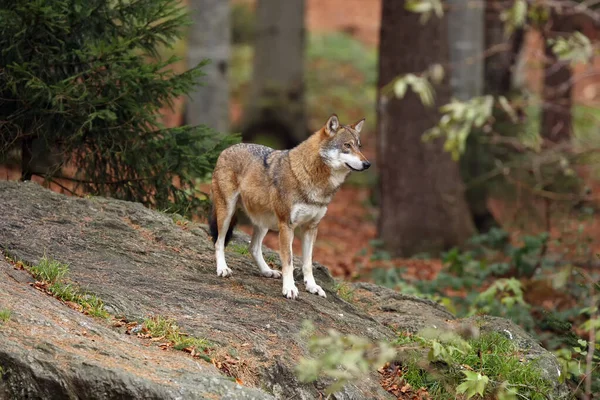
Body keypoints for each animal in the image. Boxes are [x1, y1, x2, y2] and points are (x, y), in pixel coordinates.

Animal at [210, 114, 370, 298]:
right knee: (219, 242)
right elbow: (288, 261)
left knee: (253, 247)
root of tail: (227, 148)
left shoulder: (311, 228)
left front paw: (312, 286)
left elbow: (307, 263)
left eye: (359, 146)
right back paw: (222, 269)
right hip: (227, 212)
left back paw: (267, 271)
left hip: (264, 222)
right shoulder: (287, 225)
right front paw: (289, 288)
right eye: (347, 145)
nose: (368, 164)